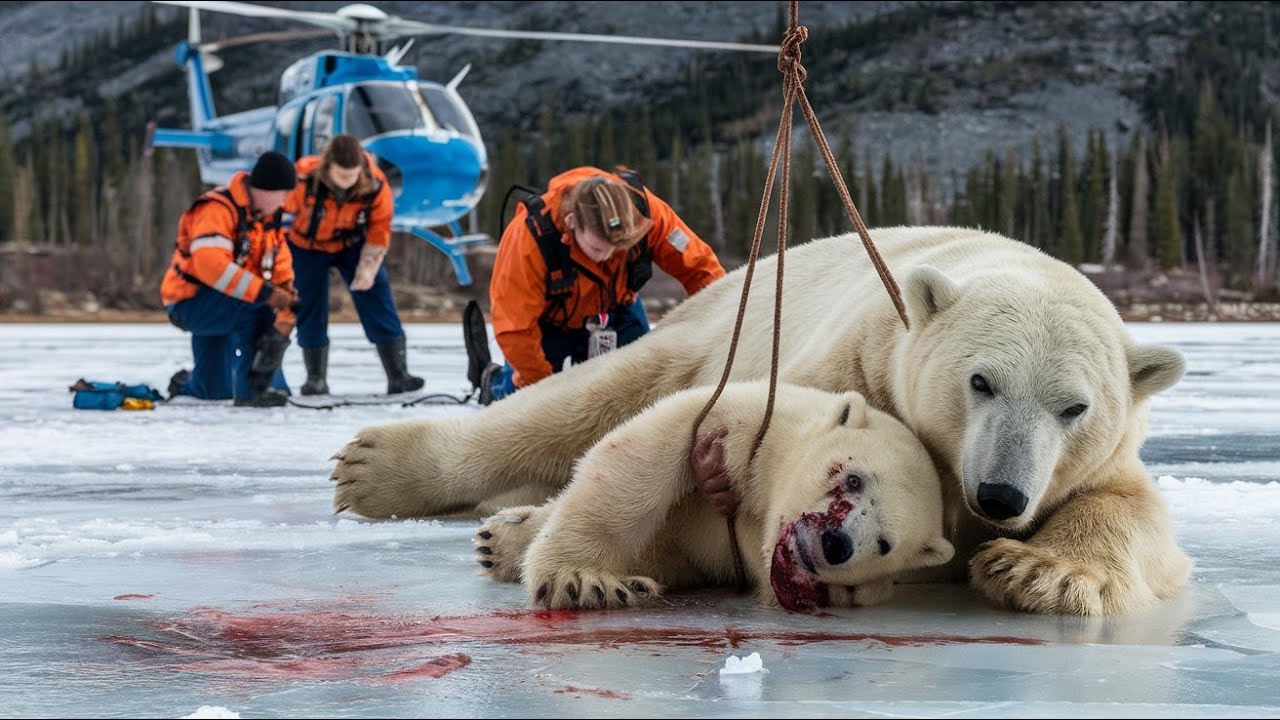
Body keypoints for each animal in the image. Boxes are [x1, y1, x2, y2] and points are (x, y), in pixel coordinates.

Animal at [470, 382, 955, 612]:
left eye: (885, 545)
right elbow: (650, 450)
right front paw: (581, 581)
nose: (837, 542)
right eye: (854, 479)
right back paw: (502, 539)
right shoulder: (751, 423)